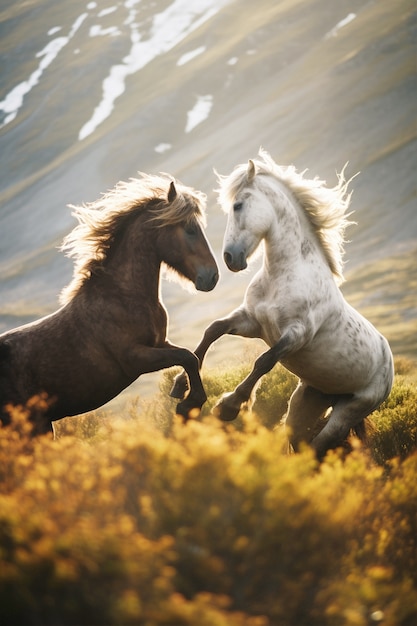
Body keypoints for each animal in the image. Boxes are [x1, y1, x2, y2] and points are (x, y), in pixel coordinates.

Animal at [0, 172, 219, 434]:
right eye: (190, 229)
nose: (212, 276)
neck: (121, 295)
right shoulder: (135, 359)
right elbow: (188, 357)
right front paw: (188, 405)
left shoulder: (159, 343)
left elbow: (191, 357)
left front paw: (182, 394)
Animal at [172, 149, 394, 456]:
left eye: (238, 205)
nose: (230, 258)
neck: (285, 275)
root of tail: (389, 366)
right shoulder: (252, 322)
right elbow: (213, 330)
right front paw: (182, 388)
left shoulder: (296, 335)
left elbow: (264, 361)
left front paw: (229, 406)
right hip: (306, 400)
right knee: (298, 440)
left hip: (349, 411)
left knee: (318, 446)